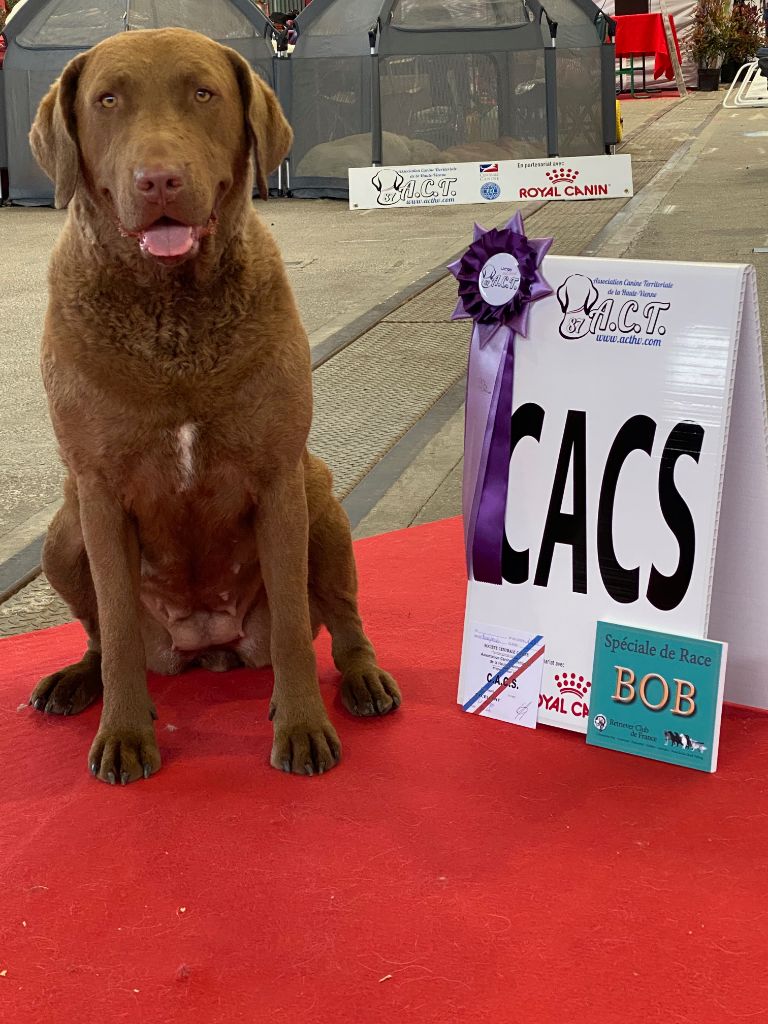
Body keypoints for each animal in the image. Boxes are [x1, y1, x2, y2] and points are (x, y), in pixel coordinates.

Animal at [27, 27, 401, 784]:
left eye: (203, 93)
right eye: (107, 101)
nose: (159, 180)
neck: (171, 317)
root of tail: (207, 648)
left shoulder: (279, 476)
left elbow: (292, 627)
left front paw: (301, 725)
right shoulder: (98, 491)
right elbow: (115, 625)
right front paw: (125, 734)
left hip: (322, 503)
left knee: (340, 620)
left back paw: (361, 680)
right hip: (62, 529)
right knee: (101, 636)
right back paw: (77, 681)